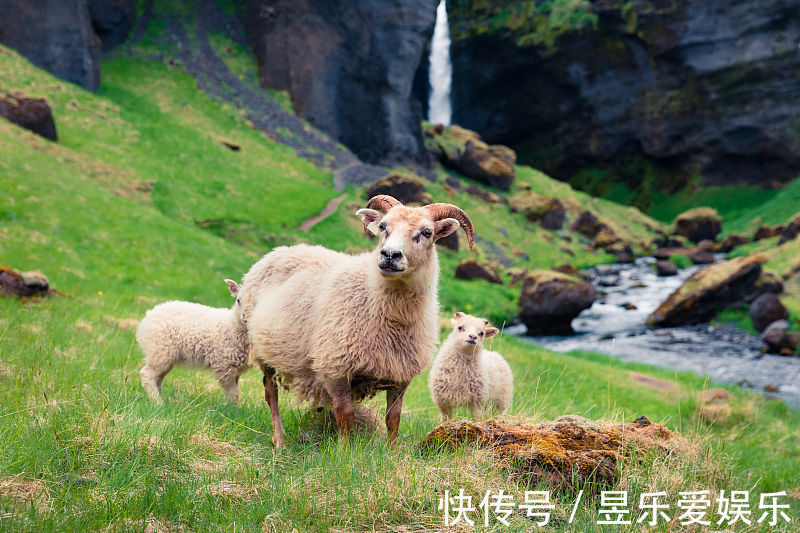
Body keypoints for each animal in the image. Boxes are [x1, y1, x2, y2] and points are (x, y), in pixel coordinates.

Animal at [239, 195, 476, 444]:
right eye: (383, 227)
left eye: (427, 232)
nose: (390, 255)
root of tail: (279, 251)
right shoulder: (335, 367)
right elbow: (346, 416)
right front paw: (343, 450)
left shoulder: (400, 375)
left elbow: (393, 419)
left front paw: (392, 450)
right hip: (262, 350)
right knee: (270, 394)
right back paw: (279, 439)